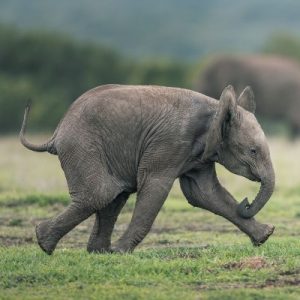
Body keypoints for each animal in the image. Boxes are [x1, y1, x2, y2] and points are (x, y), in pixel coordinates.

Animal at [19, 83, 276, 254]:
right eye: (253, 151)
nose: (247, 202)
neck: (216, 108)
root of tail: (57, 132)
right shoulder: (169, 143)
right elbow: (155, 188)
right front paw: (121, 252)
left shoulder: (199, 154)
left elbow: (205, 194)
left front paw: (265, 235)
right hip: (81, 145)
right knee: (100, 194)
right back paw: (45, 243)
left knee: (114, 196)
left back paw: (97, 252)